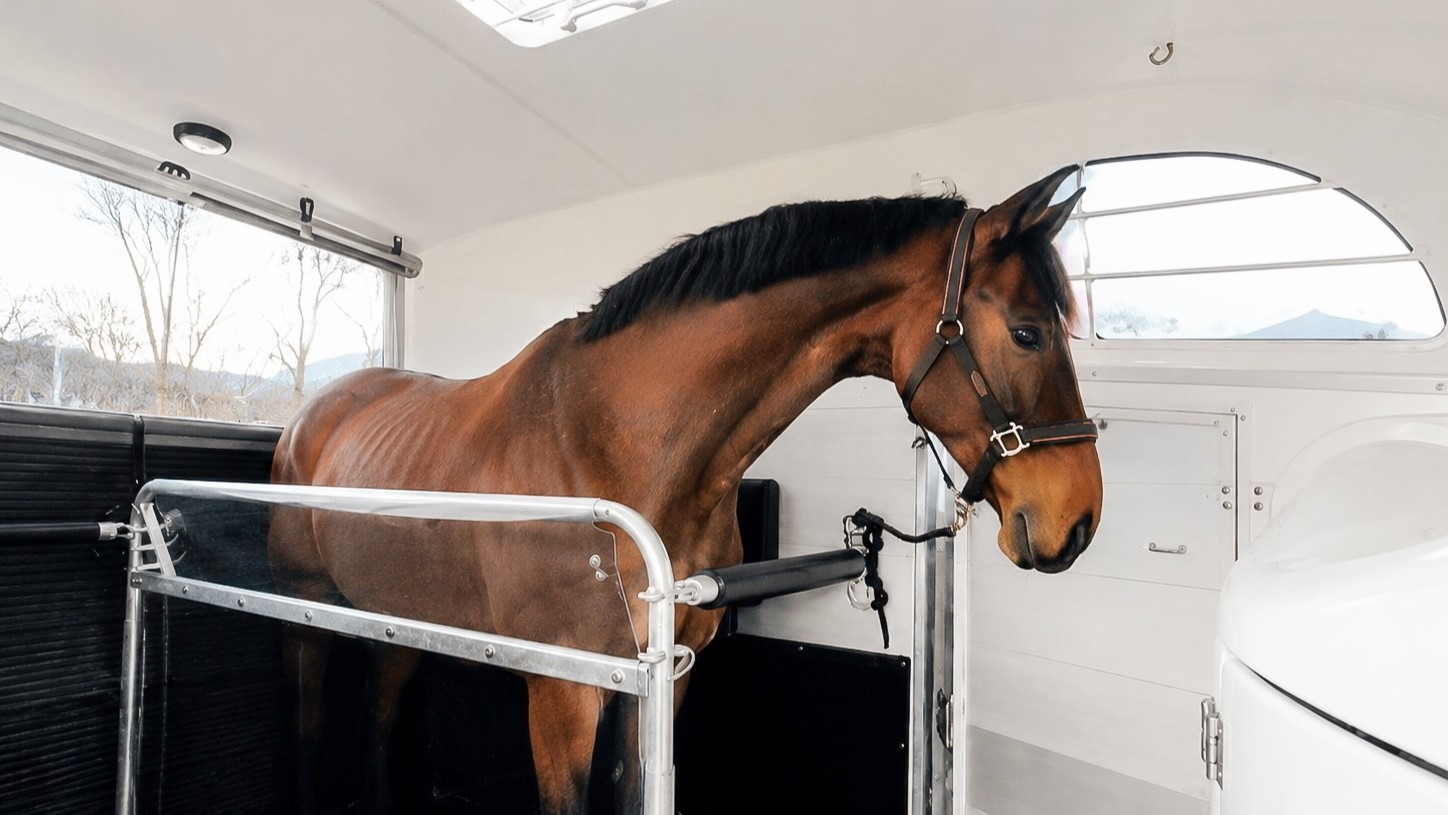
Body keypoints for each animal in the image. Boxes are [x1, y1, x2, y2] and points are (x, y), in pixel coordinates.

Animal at [267, 165, 1104, 814]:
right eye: (1027, 332)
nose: (1080, 519)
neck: (606, 443)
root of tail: (311, 415)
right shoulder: (563, 688)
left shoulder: (666, 675)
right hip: (308, 612)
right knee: (307, 726)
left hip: (393, 617)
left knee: (377, 718)